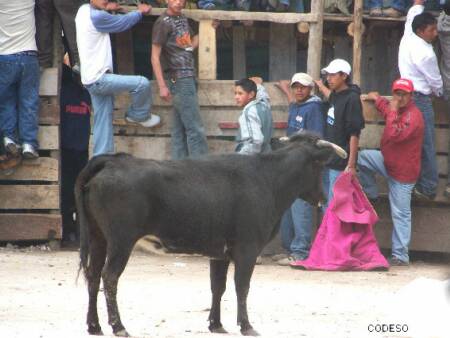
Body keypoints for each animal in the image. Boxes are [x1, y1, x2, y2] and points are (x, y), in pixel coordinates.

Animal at [75, 132, 346, 336]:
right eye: (319, 165)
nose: (323, 197)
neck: (267, 180)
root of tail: (112, 161)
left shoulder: (220, 254)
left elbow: (218, 287)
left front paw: (216, 324)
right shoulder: (247, 250)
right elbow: (241, 286)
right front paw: (246, 326)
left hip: (98, 238)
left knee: (93, 276)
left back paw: (94, 326)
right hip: (121, 241)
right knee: (110, 277)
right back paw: (118, 327)